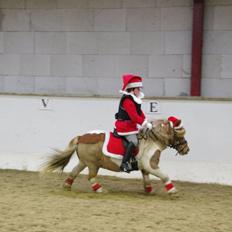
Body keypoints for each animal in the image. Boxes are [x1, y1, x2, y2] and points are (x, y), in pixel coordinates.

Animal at [42, 119, 188, 194]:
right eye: (179, 135)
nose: (186, 149)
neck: (152, 141)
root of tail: (81, 137)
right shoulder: (151, 165)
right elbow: (164, 175)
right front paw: (172, 189)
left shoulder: (145, 167)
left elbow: (146, 177)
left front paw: (148, 189)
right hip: (93, 164)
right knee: (91, 177)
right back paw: (100, 189)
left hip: (84, 162)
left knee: (74, 172)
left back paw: (67, 186)